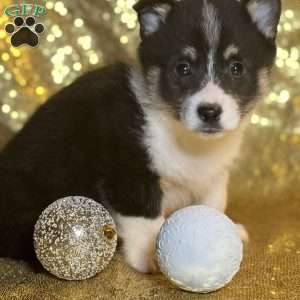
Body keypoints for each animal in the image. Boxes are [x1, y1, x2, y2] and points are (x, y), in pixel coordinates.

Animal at [0, 0, 282, 274]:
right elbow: (144, 215)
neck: (183, 136)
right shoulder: (129, 172)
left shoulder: (214, 174)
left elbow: (214, 201)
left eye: (237, 68)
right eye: (183, 68)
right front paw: (150, 256)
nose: (210, 111)